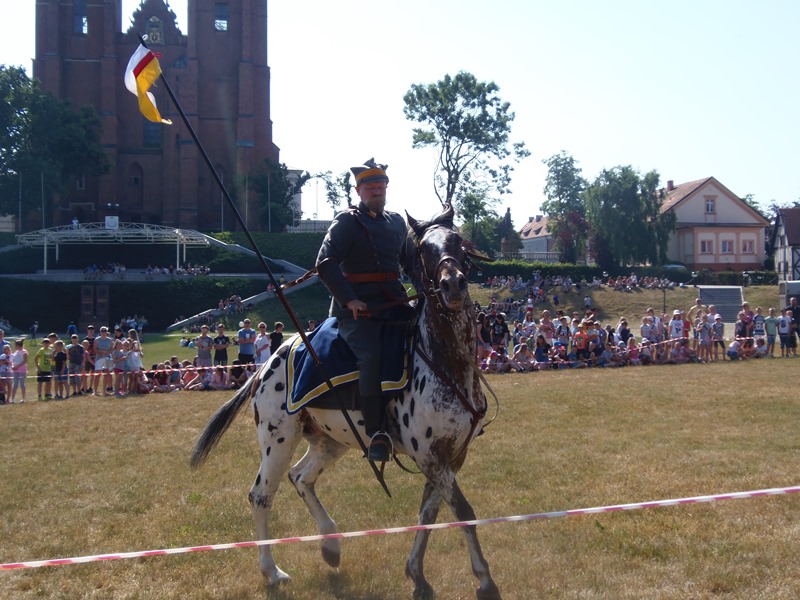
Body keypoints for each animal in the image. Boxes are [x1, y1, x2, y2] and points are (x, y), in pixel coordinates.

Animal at [190, 204, 501, 600]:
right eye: (422, 249)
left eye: (458, 240)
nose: (453, 284)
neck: (444, 360)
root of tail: (267, 361)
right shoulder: (430, 455)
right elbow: (463, 511)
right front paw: (484, 580)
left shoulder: (451, 456)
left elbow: (429, 515)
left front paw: (417, 574)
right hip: (278, 439)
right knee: (261, 495)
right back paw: (272, 571)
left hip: (330, 440)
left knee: (301, 478)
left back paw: (331, 545)